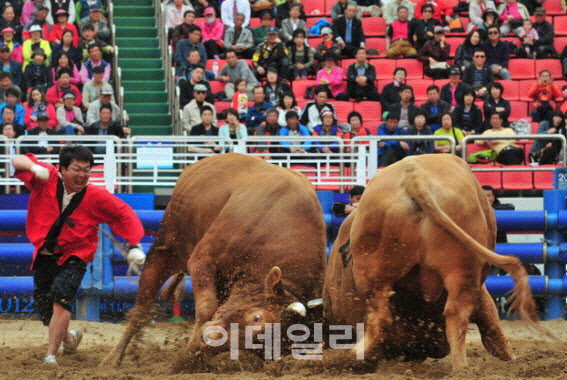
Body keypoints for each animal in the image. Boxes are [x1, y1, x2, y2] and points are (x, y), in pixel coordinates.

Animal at [100, 153, 326, 366]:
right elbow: (207, 307)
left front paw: (194, 354)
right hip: (168, 246)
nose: (212, 339)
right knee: (142, 304)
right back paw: (114, 358)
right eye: (257, 317)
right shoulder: (202, 260)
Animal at [322, 154, 544, 368]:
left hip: (377, 275)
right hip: (461, 269)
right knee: (455, 313)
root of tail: (414, 176)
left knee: (381, 317)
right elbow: (493, 331)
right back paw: (460, 368)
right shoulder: (481, 292)